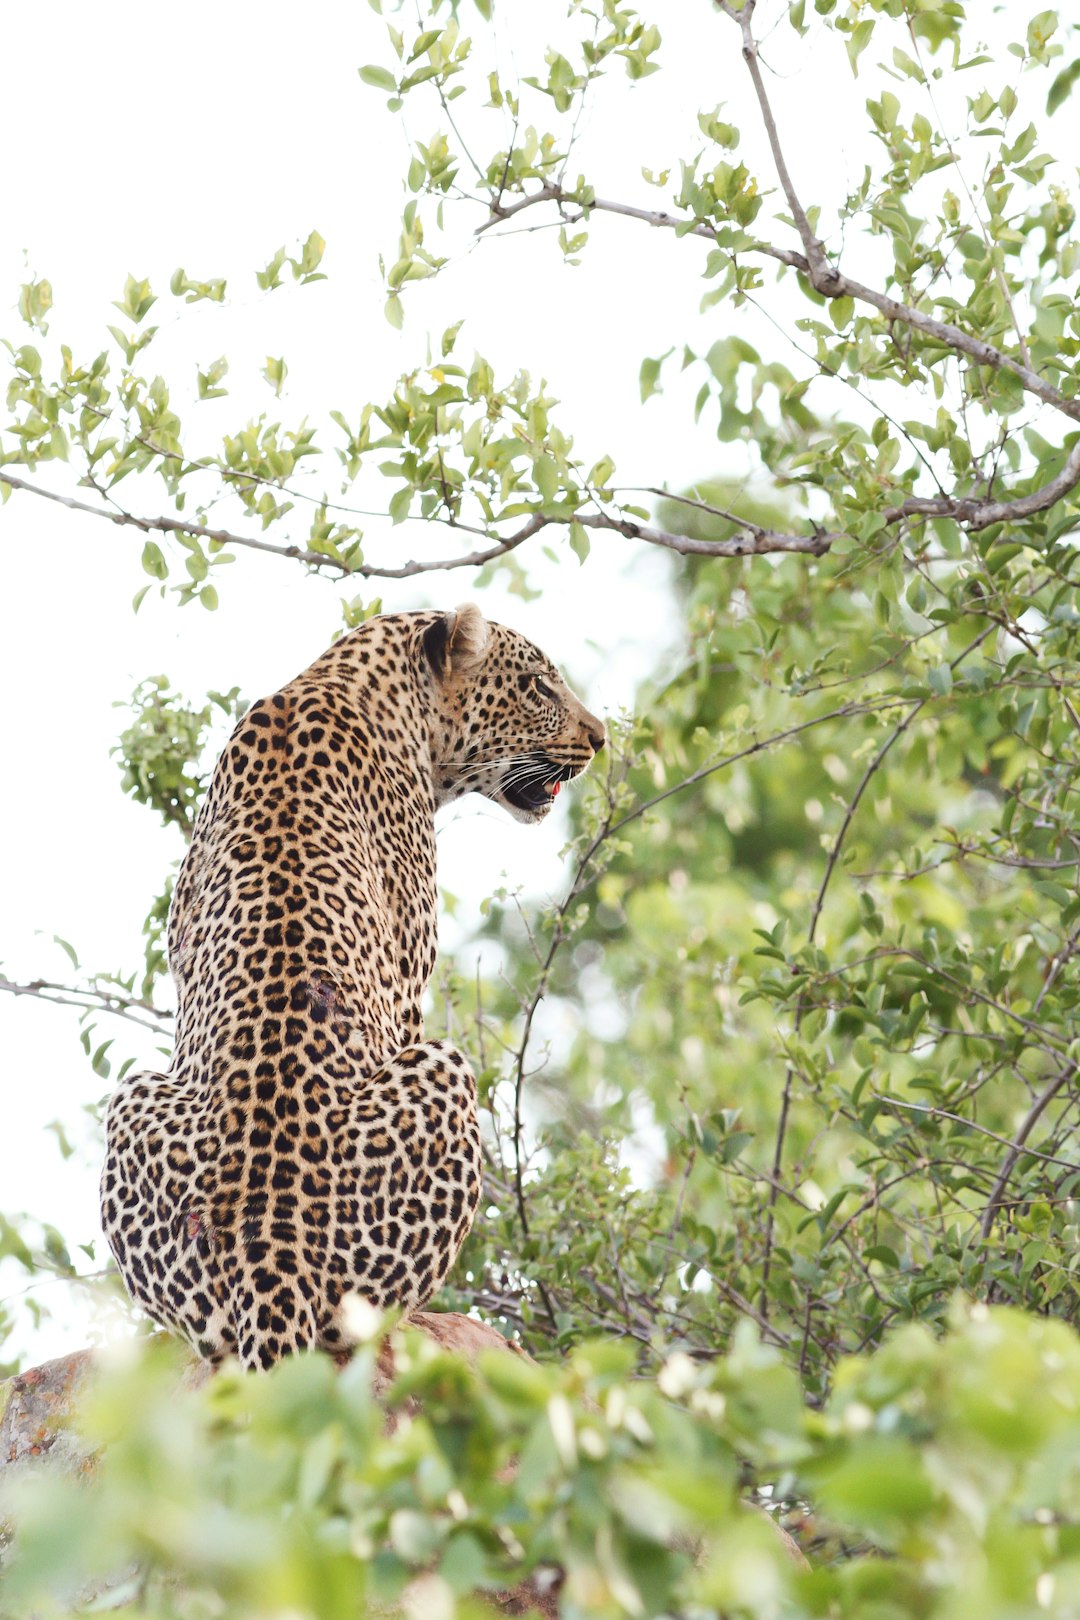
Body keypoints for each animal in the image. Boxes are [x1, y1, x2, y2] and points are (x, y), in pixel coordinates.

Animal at [99, 605, 608, 1367]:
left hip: (133, 1094)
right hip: (445, 1068)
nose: (600, 739)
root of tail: (271, 1244)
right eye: (540, 688)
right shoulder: (408, 979)